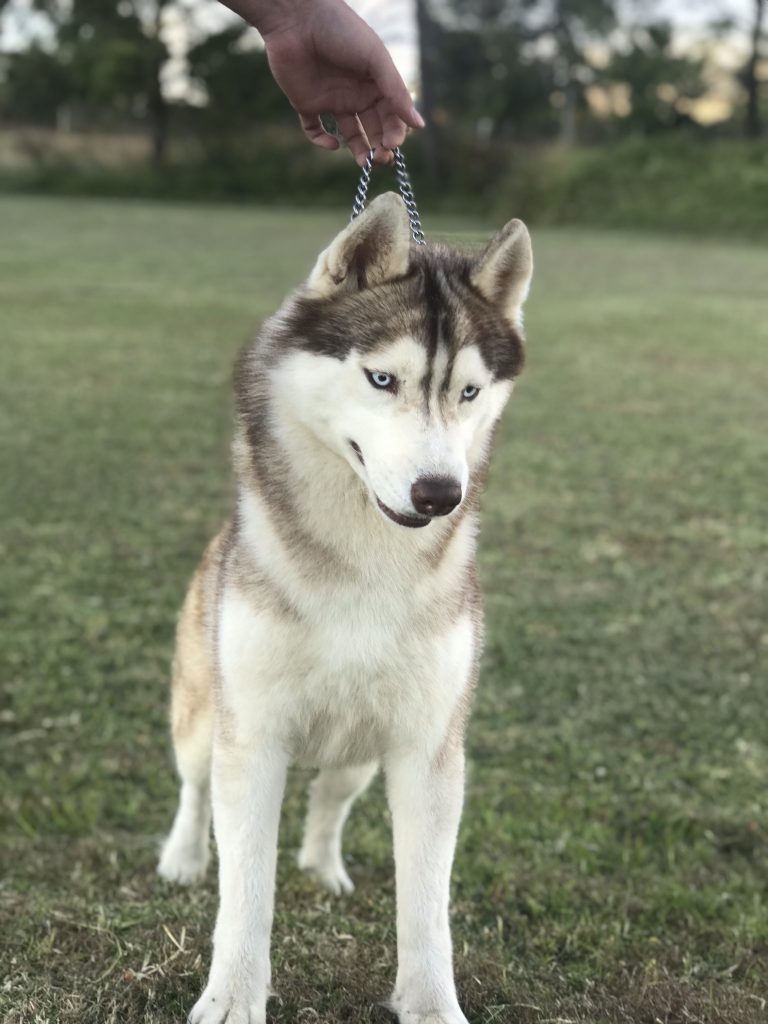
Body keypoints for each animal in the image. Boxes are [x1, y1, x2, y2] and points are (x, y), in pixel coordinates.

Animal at [157, 193, 536, 1024]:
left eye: (468, 392)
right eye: (382, 378)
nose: (440, 493)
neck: (365, 564)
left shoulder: (430, 750)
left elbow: (427, 905)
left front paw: (431, 1004)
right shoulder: (252, 737)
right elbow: (245, 891)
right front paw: (232, 997)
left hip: (364, 752)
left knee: (329, 797)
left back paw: (322, 865)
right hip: (202, 713)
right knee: (194, 786)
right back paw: (182, 857)